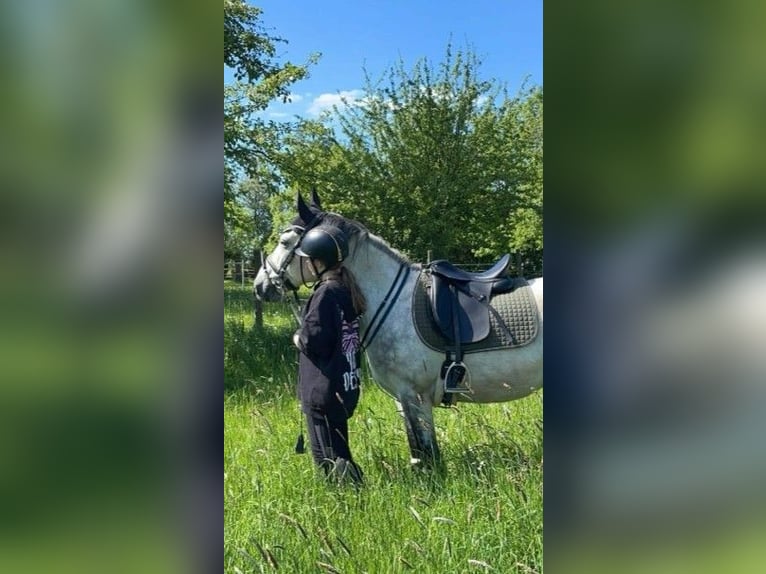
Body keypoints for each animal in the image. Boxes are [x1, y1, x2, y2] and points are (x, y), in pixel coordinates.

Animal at [255, 194, 544, 468]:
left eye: (284, 242)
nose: (260, 285)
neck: (391, 303)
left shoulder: (414, 397)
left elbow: (427, 454)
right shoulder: (402, 399)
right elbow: (417, 452)